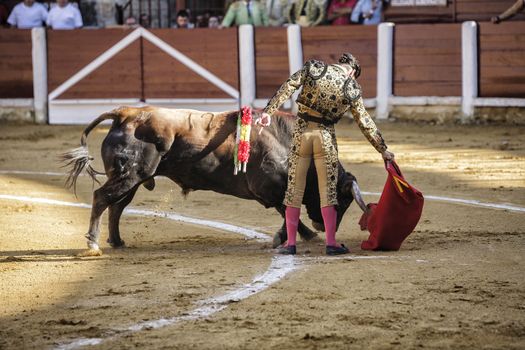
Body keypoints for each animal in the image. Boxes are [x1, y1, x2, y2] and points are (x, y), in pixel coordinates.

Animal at [62, 106, 364, 254]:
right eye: (343, 199)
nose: (325, 225)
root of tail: (126, 114)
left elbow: (289, 211)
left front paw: (302, 234)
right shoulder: (270, 189)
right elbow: (287, 211)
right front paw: (297, 235)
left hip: (132, 180)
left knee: (116, 206)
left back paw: (116, 241)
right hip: (130, 176)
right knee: (101, 198)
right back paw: (93, 244)